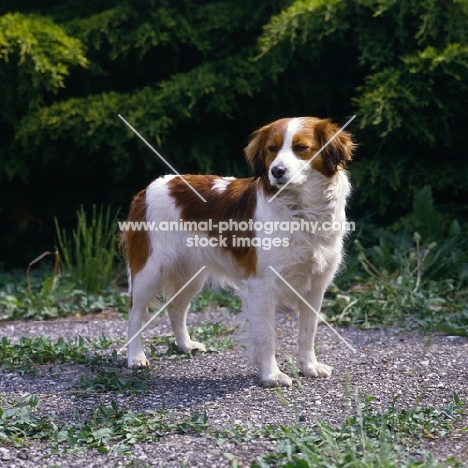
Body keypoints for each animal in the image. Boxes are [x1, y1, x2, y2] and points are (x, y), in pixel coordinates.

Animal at [120, 117, 354, 388]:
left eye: (301, 148)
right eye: (272, 149)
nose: (277, 171)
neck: (302, 211)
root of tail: (148, 188)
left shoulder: (316, 285)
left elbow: (308, 331)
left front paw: (309, 366)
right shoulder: (262, 285)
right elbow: (267, 335)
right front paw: (272, 375)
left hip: (190, 275)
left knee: (175, 308)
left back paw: (186, 346)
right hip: (149, 271)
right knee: (135, 313)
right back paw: (135, 357)